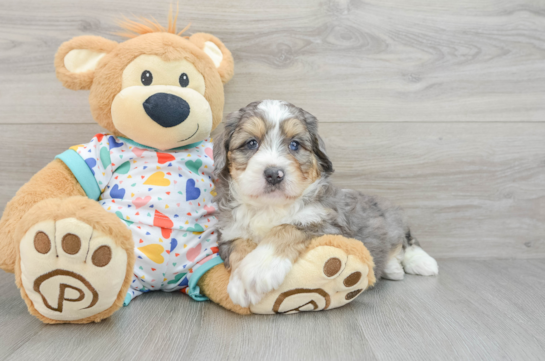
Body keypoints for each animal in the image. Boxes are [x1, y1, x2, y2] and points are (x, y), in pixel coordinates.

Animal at [212, 100, 438, 306]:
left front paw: (257, 271)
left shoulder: (329, 224)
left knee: (407, 242)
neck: (270, 207)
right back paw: (392, 268)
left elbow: (286, 227)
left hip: (392, 218)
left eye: (294, 144)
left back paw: (422, 263)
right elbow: (240, 244)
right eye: (251, 143)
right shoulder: (230, 232)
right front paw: (241, 282)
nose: (274, 174)